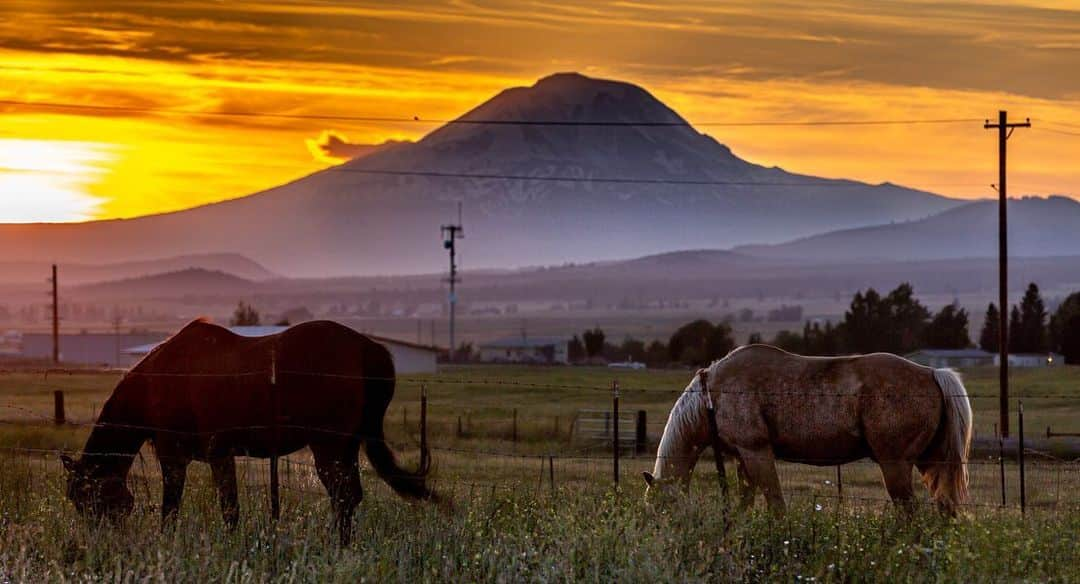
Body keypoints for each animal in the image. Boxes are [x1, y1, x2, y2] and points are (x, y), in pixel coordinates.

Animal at [61, 319, 432, 541]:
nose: (100, 541)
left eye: (86, 497)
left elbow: (183, 509)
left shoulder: (183, 457)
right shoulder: (213, 456)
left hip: (328, 446)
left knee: (343, 497)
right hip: (346, 447)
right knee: (349, 497)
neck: (158, 381)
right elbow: (226, 507)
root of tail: (370, 350)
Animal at [643, 343, 976, 511]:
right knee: (944, 508)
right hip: (931, 463)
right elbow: (743, 506)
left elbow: (776, 504)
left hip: (895, 464)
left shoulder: (757, 453)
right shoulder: (742, 458)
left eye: (660, 507)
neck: (713, 393)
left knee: (909, 513)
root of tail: (932, 372)